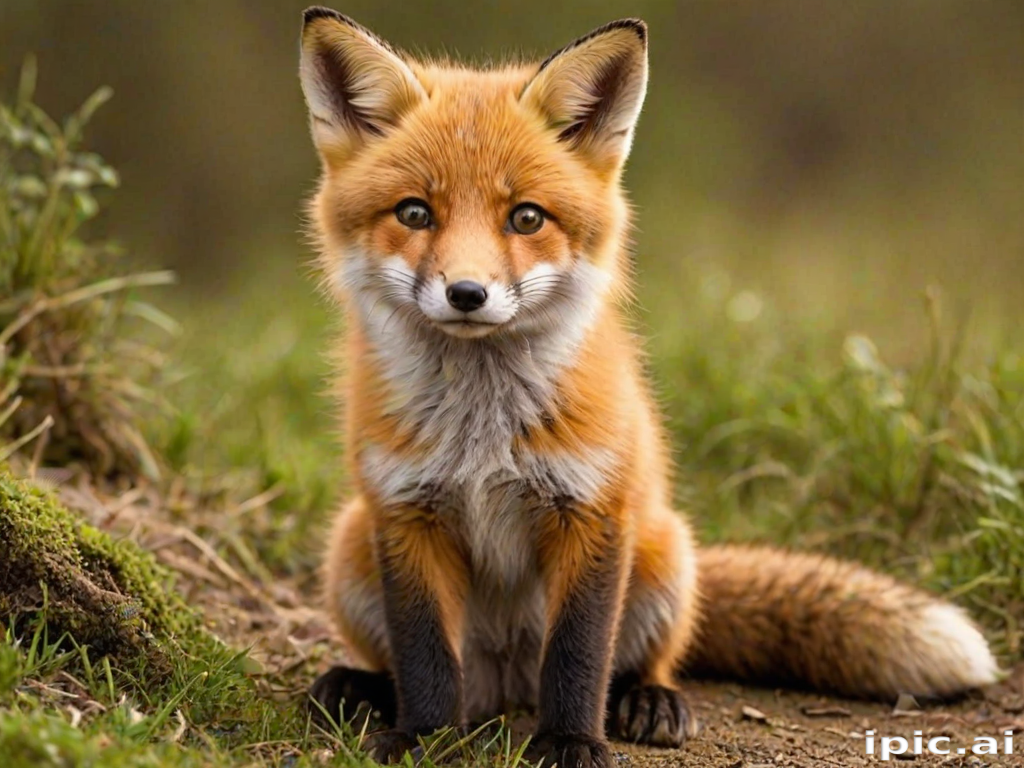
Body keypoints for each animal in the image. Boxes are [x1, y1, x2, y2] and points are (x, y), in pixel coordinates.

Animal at [297, 7, 1000, 767]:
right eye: (414, 213)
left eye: (526, 217)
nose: (467, 293)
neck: (482, 433)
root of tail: (507, 684)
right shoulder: (406, 514)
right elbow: (424, 653)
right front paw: (425, 737)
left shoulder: (593, 510)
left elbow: (578, 653)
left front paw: (571, 742)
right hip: (350, 543)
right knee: (411, 665)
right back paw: (360, 688)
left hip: (665, 551)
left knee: (638, 661)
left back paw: (647, 700)